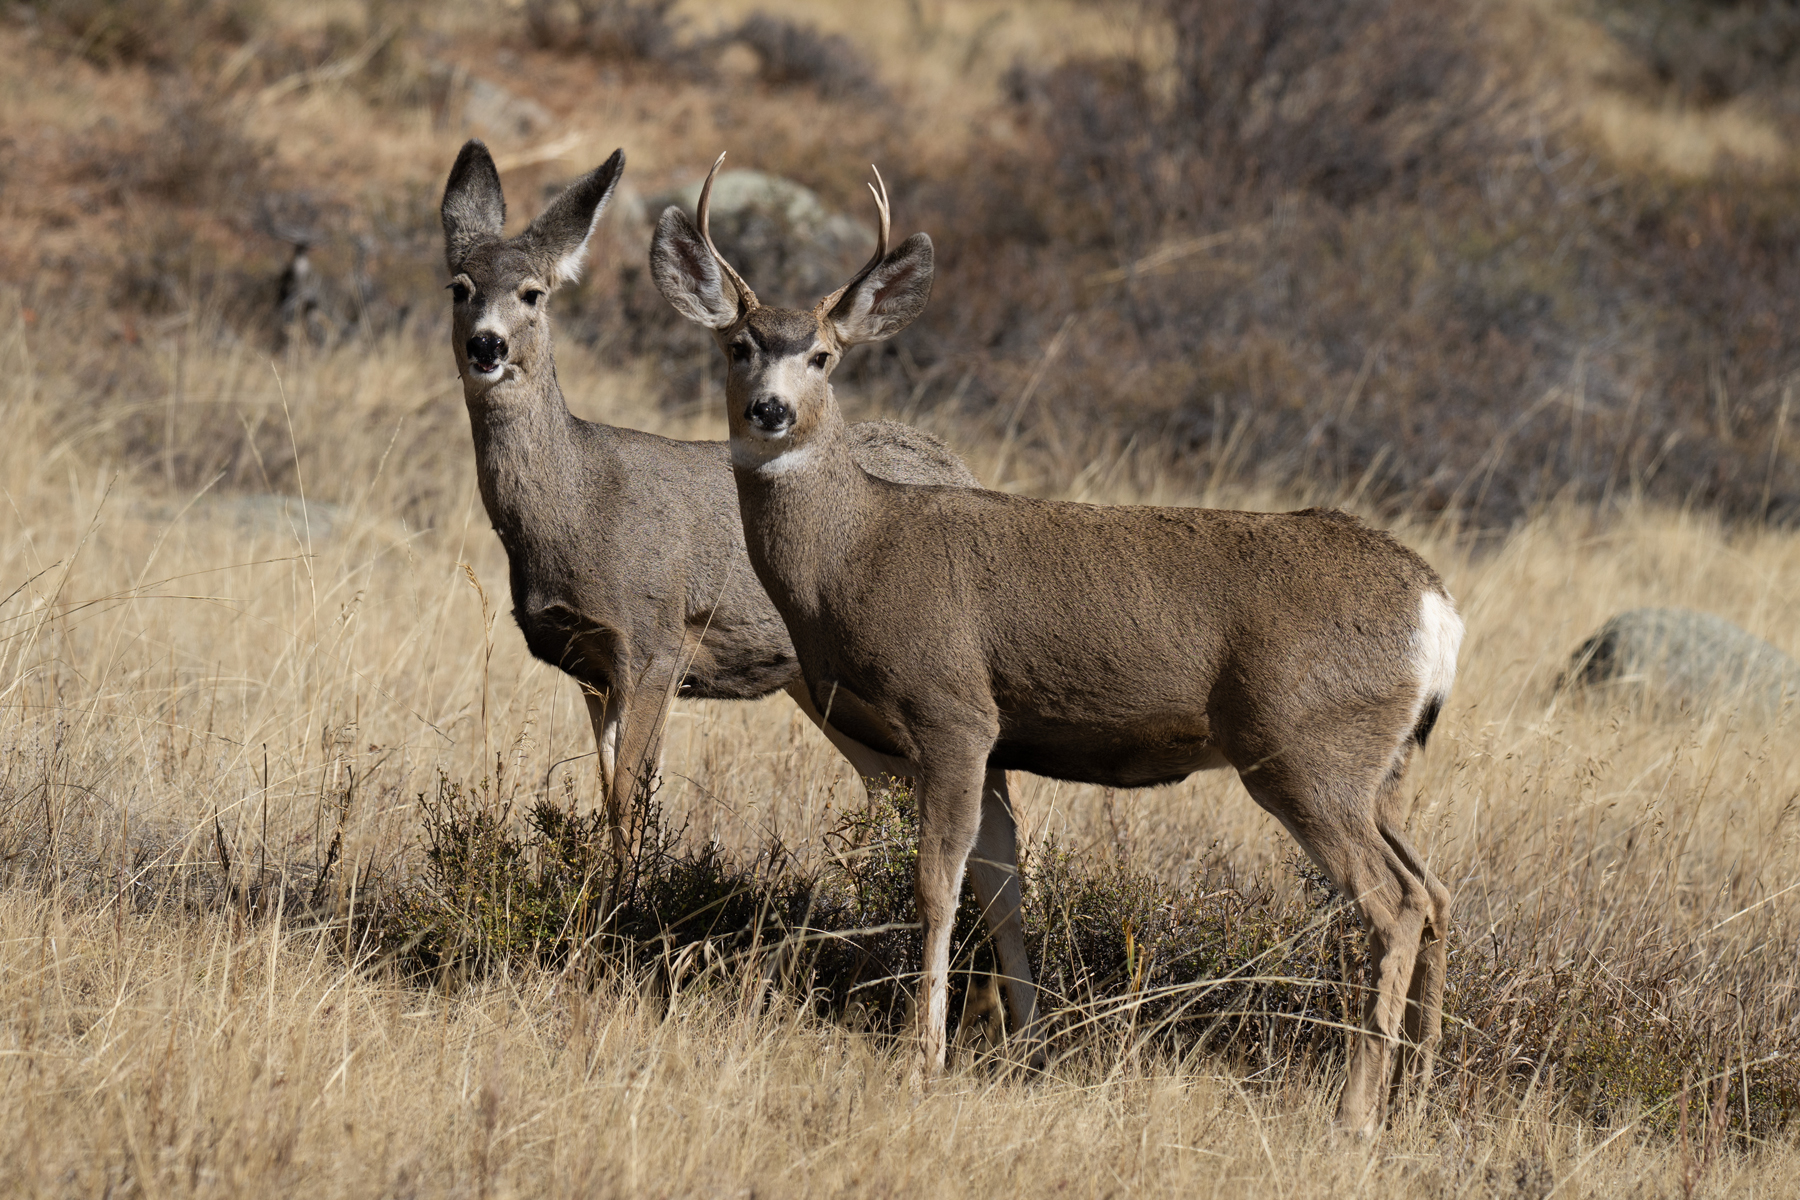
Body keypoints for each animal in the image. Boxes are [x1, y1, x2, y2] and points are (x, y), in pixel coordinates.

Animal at [444, 143, 993, 845]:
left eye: (533, 293)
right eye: (459, 287)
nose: (487, 344)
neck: (579, 504)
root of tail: (959, 465)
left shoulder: (656, 638)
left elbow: (629, 804)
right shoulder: (590, 667)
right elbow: (609, 794)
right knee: (890, 784)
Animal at [655, 157, 1468, 1137]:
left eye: (823, 354)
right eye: (738, 346)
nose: (771, 411)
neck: (856, 553)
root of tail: (1437, 608)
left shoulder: (952, 710)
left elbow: (938, 884)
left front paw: (924, 1056)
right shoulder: (996, 742)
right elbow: (1005, 889)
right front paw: (1025, 1047)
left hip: (1305, 748)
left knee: (1393, 904)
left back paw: (1354, 1111)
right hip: (1383, 767)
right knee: (1435, 891)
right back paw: (1416, 1092)